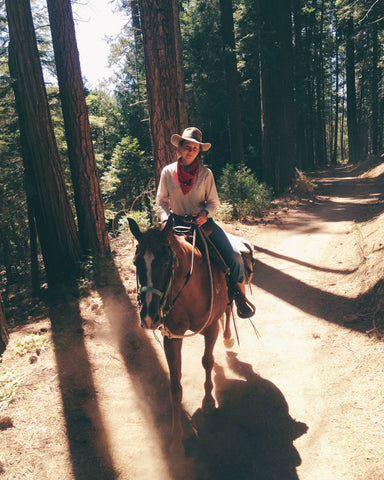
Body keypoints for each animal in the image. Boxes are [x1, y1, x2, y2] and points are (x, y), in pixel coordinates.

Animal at [128, 216, 234, 448]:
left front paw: (208, 400)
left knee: (229, 309)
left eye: (166, 261)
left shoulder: (210, 328)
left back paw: (229, 338)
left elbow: (207, 361)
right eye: (136, 262)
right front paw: (177, 435)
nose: (149, 317)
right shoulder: (172, 337)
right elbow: (175, 385)